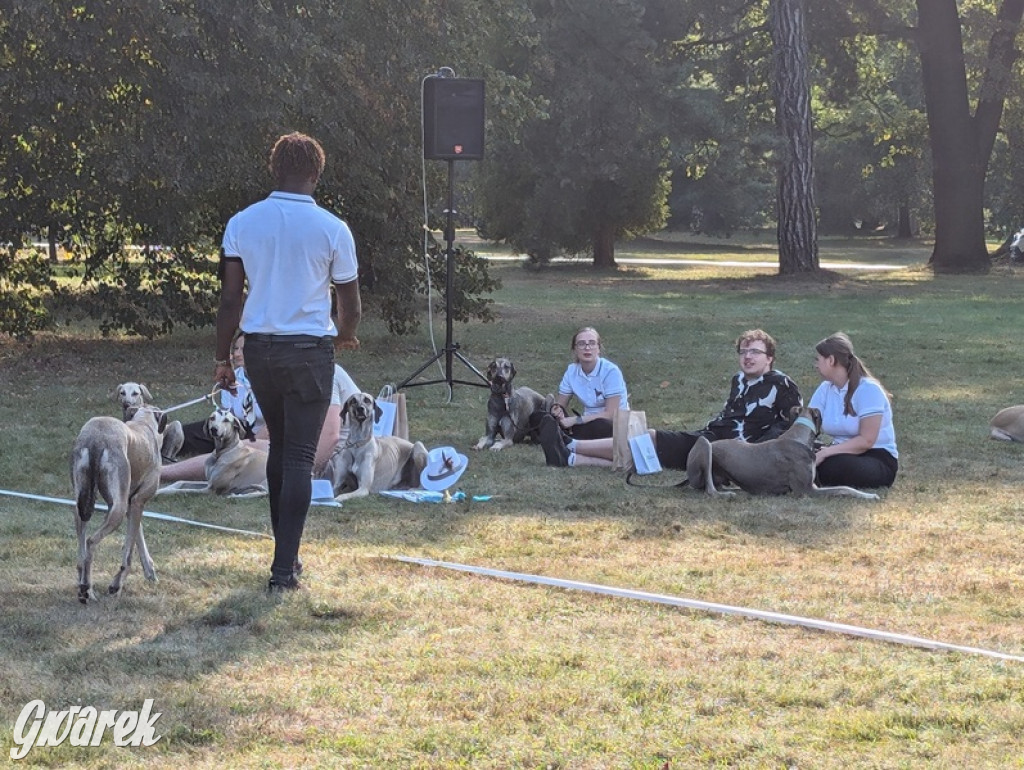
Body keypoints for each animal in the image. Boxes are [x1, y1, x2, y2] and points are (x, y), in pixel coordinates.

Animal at [70, 405, 166, 606]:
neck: (144, 425)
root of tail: (96, 437)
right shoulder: (137, 503)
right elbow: (128, 556)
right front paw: (116, 586)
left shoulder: (132, 506)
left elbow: (138, 539)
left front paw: (150, 572)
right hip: (117, 511)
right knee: (90, 542)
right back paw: (86, 588)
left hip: (82, 506)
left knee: (81, 554)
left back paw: (86, 589)